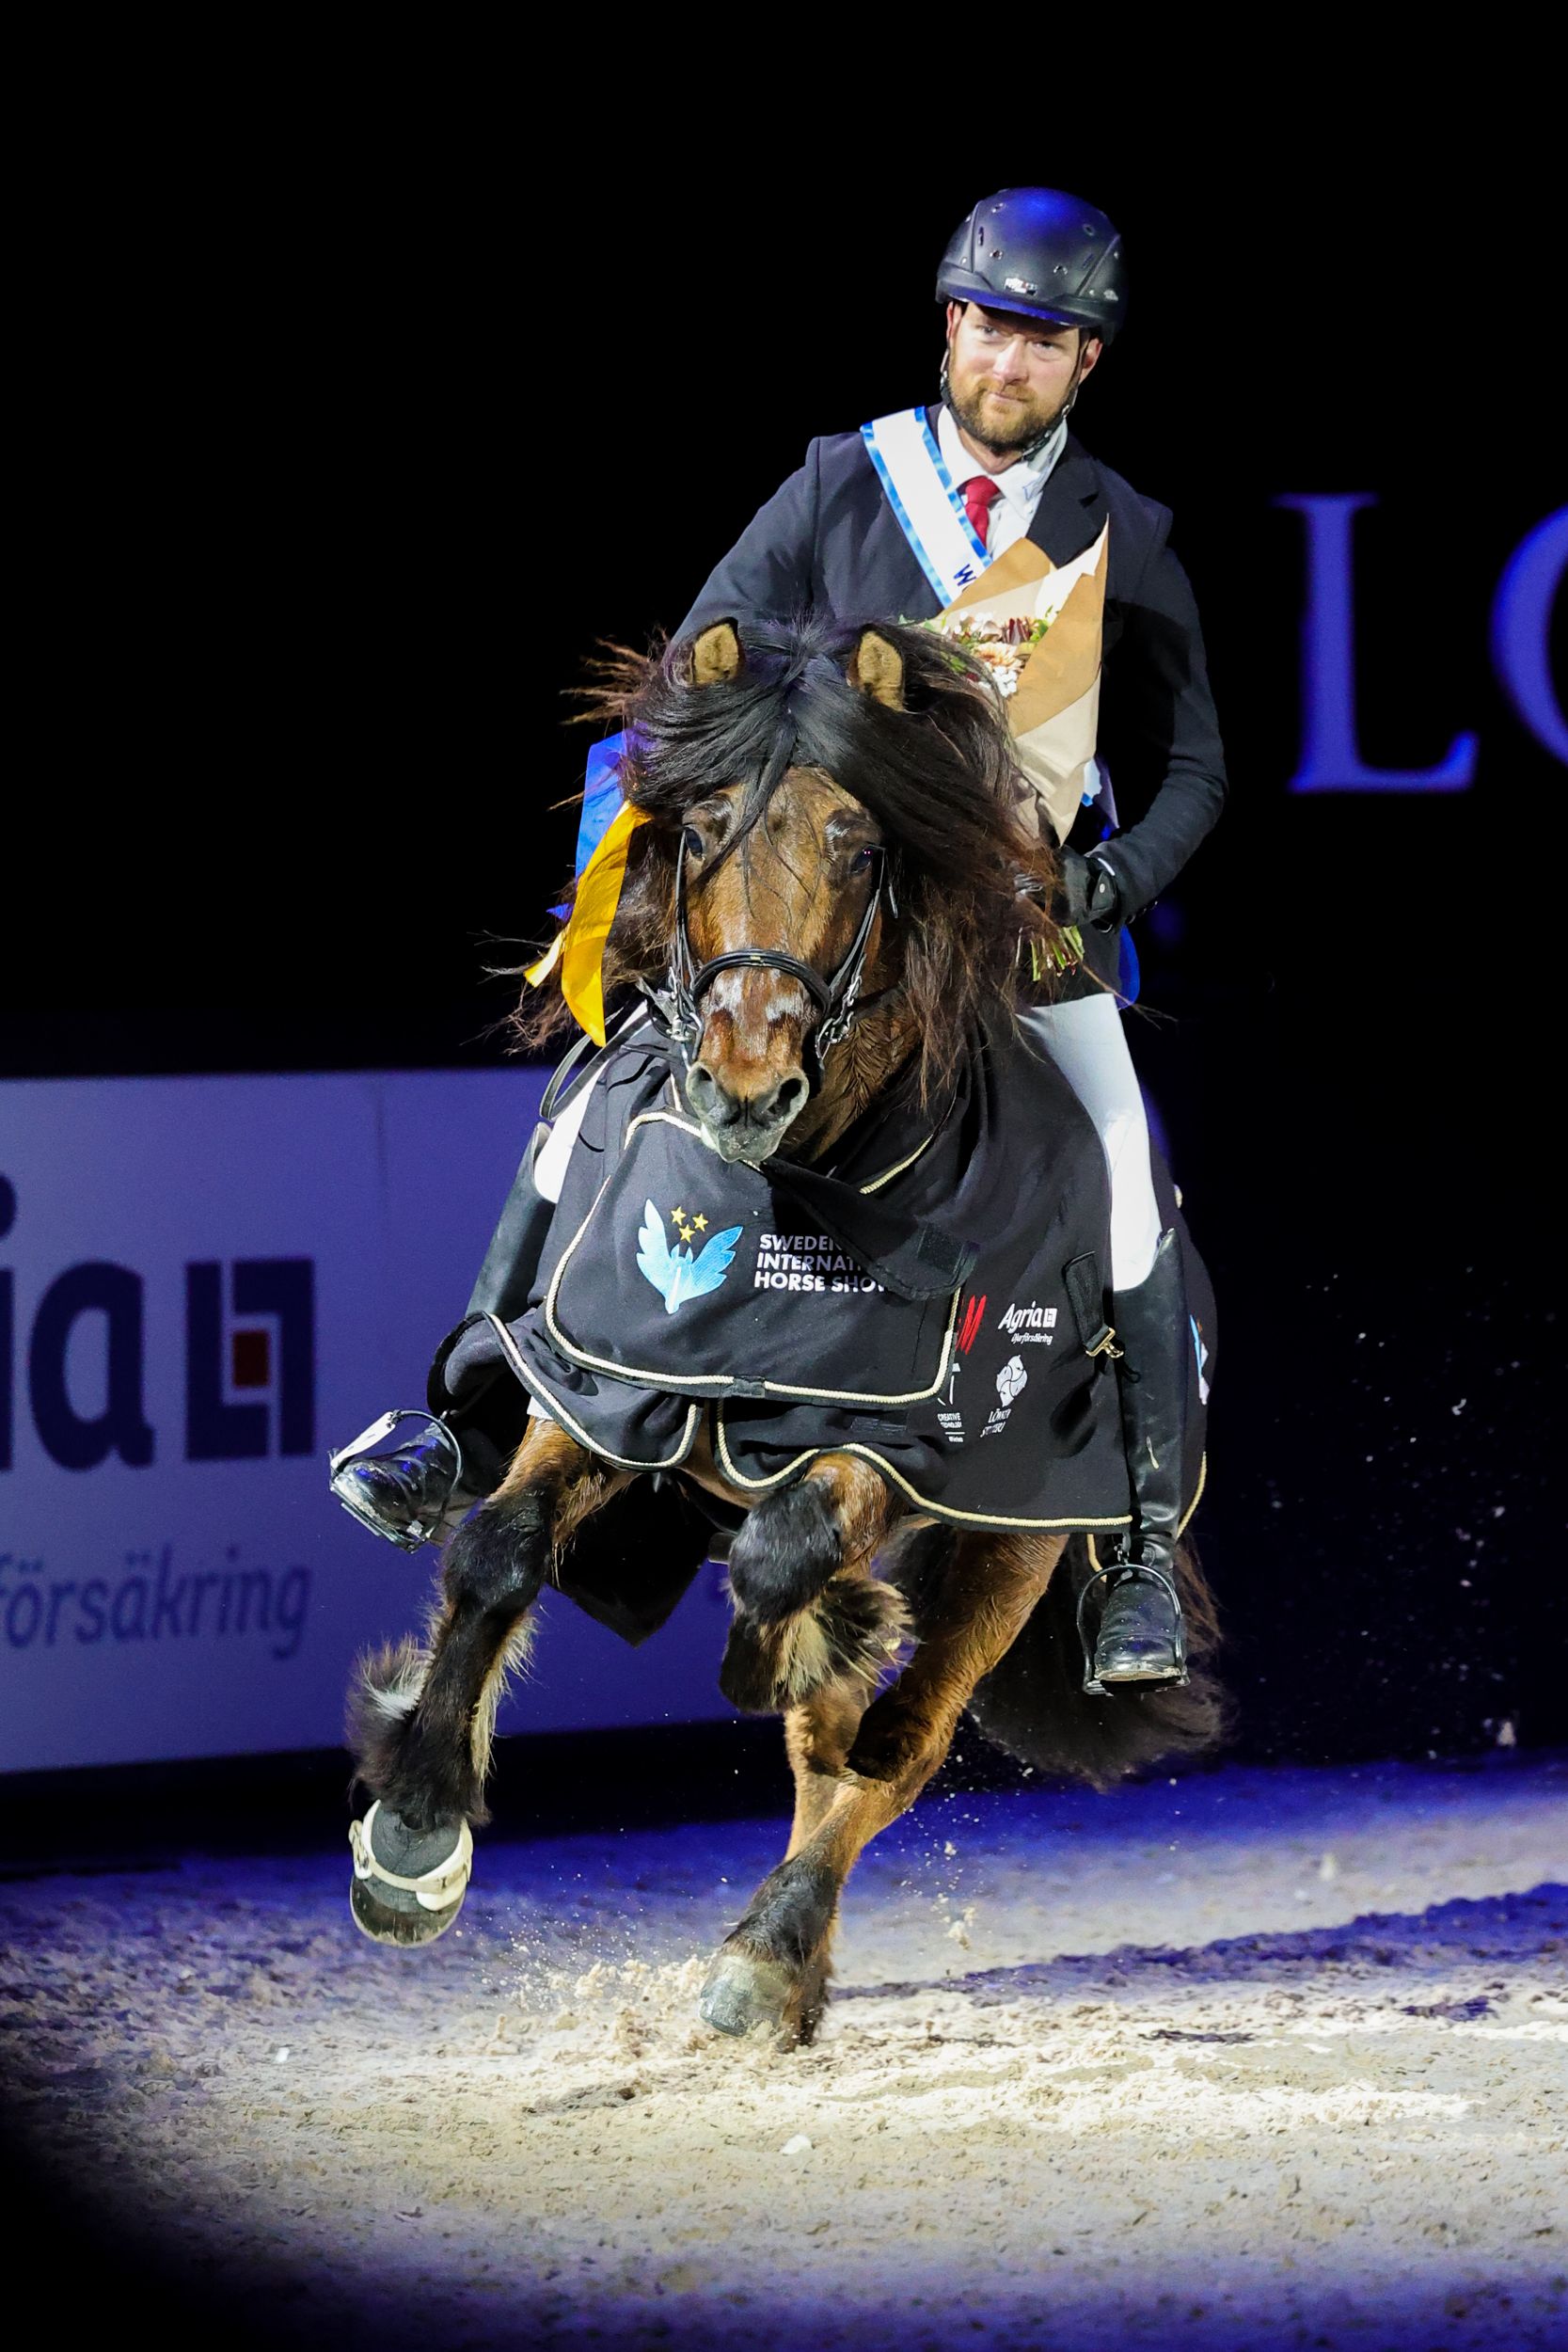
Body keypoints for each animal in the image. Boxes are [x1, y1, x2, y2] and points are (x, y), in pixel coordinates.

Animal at [346, 614, 1224, 2047]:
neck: (796, 1191)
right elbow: (498, 1549)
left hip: (1018, 1539)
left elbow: (786, 1563)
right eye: (700, 831)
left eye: (859, 844)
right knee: (831, 1746)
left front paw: (807, 1631)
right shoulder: (606, 1383)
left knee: (895, 1742)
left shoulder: (904, 1442)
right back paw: (783, 1961)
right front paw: (412, 1837)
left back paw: (768, 1948)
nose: (744, 1078)